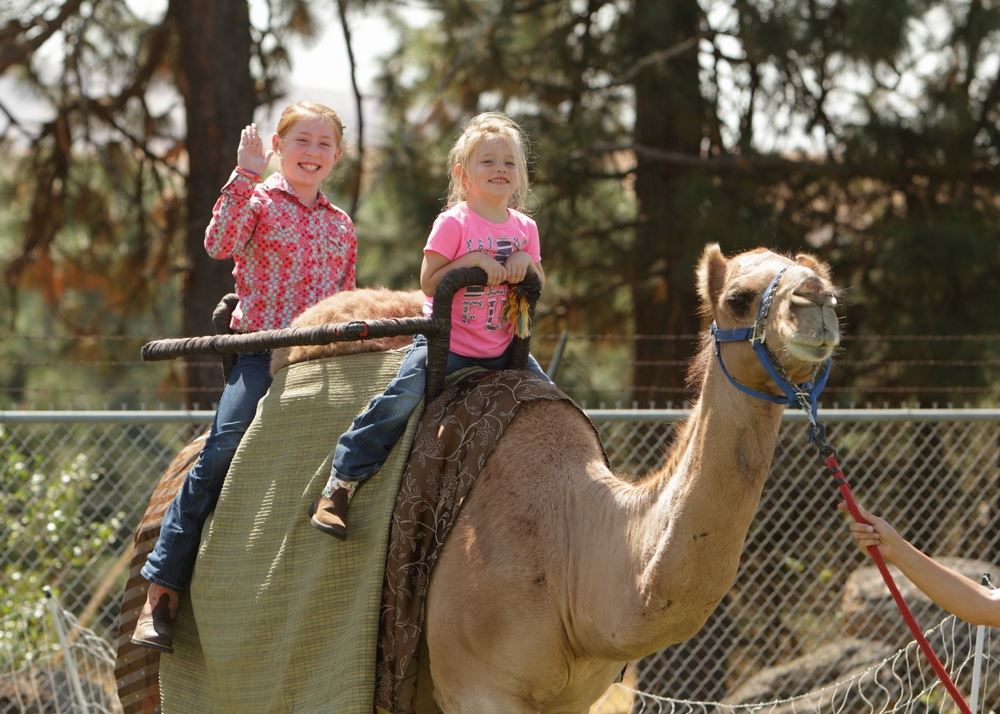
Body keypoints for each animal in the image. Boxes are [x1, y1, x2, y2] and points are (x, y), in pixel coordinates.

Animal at [125, 243, 839, 713]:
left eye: (825, 281)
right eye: (738, 298)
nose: (818, 305)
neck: (578, 545)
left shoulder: (573, 700)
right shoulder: (480, 688)